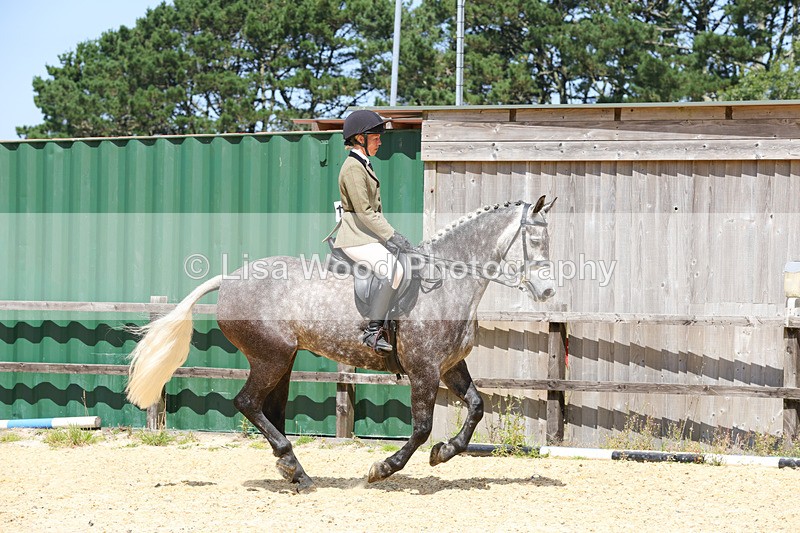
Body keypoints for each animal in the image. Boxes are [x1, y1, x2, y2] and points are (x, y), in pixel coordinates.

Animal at [126, 196, 556, 492]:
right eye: (534, 239)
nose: (548, 290)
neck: (447, 282)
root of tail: (229, 279)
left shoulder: (449, 366)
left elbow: (477, 407)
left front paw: (445, 452)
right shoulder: (424, 369)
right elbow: (421, 428)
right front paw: (382, 469)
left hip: (283, 360)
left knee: (269, 410)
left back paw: (292, 469)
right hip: (270, 356)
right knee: (247, 403)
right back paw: (294, 468)